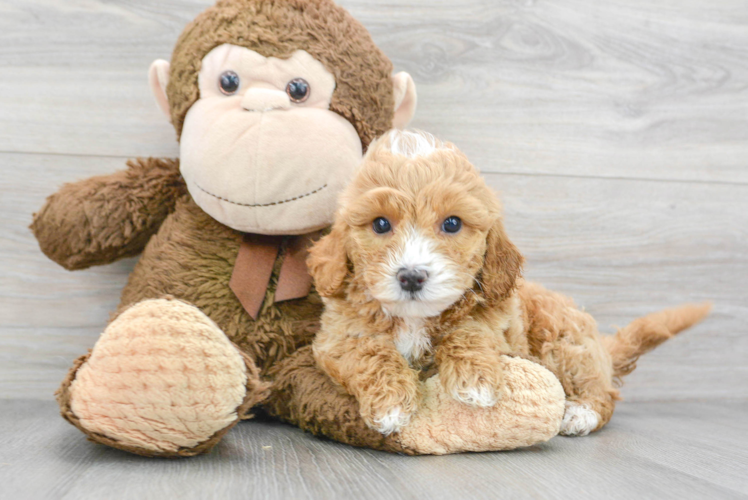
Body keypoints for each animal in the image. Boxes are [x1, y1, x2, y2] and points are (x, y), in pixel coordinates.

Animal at [306, 130, 712, 438]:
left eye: (452, 223)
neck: (415, 318)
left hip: (562, 341)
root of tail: (600, 345)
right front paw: (390, 403)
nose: (411, 276)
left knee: (604, 393)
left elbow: (468, 332)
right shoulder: (336, 338)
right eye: (380, 224)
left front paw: (475, 380)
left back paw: (579, 414)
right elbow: (369, 352)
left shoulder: (498, 326)